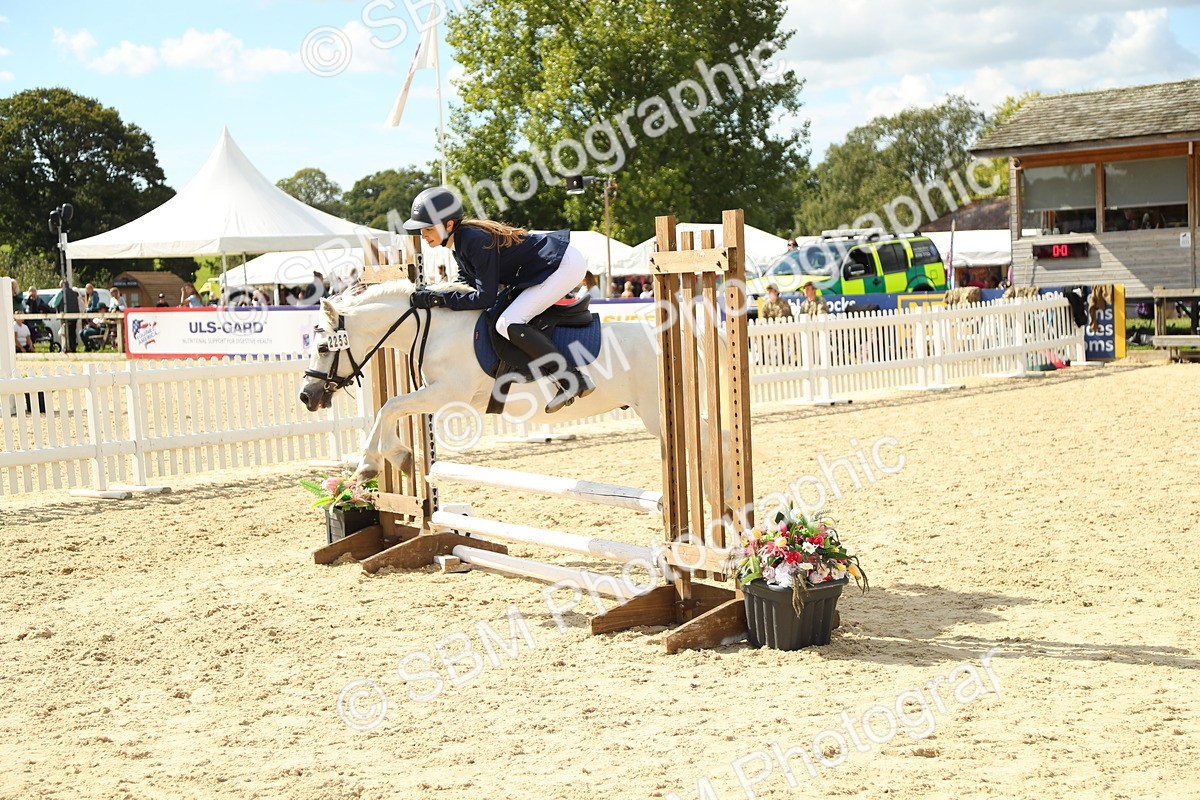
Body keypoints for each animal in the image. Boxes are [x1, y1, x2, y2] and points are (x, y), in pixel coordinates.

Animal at [298, 281, 666, 479]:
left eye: (322, 348)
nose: (306, 396)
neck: (437, 328)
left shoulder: (447, 394)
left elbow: (390, 406)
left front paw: (372, 464)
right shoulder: (437, 394)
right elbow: (389, 410)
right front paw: (388, 460)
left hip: (656, 415)